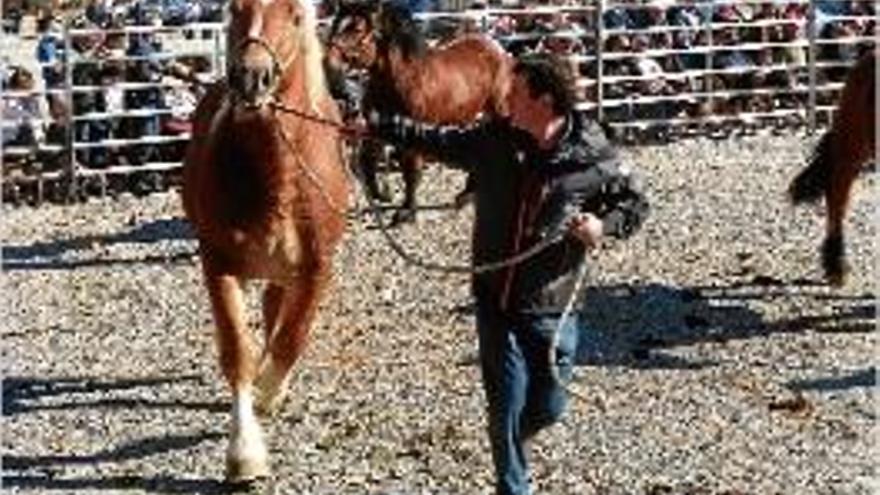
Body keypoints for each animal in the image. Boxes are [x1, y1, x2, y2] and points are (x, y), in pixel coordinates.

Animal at [180, 0, 348, 482]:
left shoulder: (316, 269)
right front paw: (245, 452)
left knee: (278, 315)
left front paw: (270, 394)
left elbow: (292, 339)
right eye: (234, 11)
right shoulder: (217, 263)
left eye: (295, 17)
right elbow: (238, 351)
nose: (252, 77)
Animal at [326, 1, 512, 225]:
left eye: (357, 29)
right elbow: (367, 159)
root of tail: (495, 47)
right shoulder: (377, 128)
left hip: (496, 108)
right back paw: (467, 194)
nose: (327, 63)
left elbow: (411, 172)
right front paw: (381, 194)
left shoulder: (414, 135)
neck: (404, 81)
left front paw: (407, 211)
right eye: (336, 23)